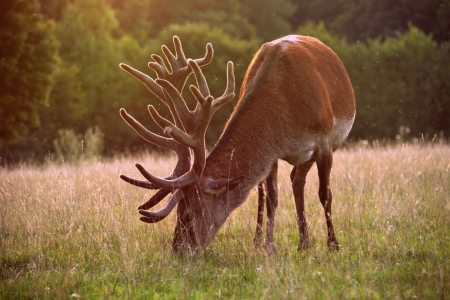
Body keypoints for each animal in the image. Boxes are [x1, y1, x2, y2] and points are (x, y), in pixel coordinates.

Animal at [118, 35, 356, 255]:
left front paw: (333, 245)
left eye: (189, 213)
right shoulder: (272, 153)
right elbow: (272, 198)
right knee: (277, 188)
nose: (179, 250)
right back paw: (282, 242)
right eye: (177, 211)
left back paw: (304, 243)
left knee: (298, 183)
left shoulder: (324, 143)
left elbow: (325, 194)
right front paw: (268, 247)